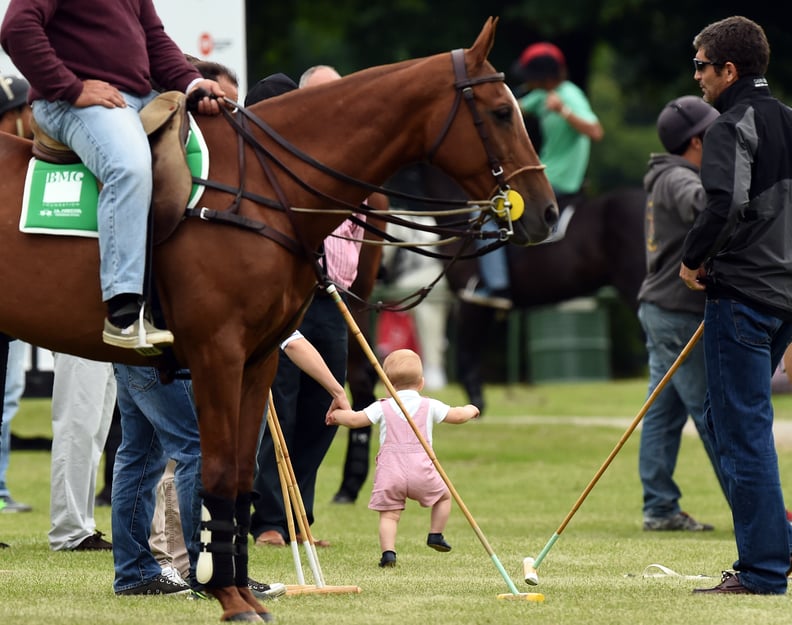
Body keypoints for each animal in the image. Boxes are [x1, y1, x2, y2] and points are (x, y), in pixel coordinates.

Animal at [0, 17, 556, 620]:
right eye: (500, 112)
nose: (547, 212)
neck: (265, 192)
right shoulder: (216, 354)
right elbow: (218, 472)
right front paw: (228, 596)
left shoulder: (259, 357)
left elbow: (243, 476)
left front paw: (241, 588)